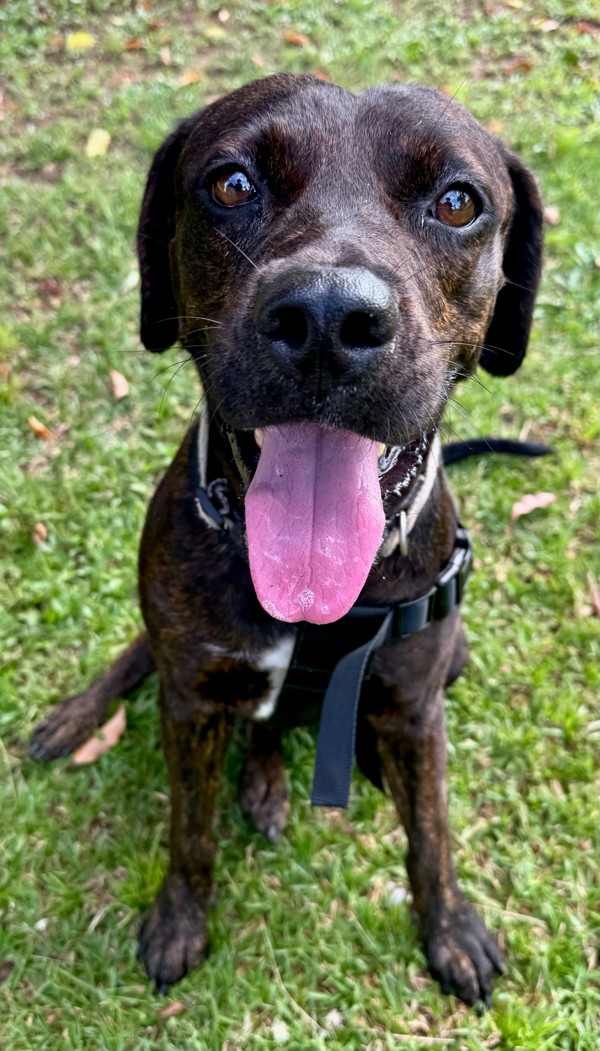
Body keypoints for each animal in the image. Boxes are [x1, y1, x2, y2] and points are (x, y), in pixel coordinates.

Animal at [30, 73, 543, 1006]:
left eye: (458, 202)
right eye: (232, 183)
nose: (328, 319)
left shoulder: (418, 704)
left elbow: (433, 833)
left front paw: (451, 931)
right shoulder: (192, 697)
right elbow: (189, 830)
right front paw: (179, 919)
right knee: (151, 663)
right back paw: (81, 717)